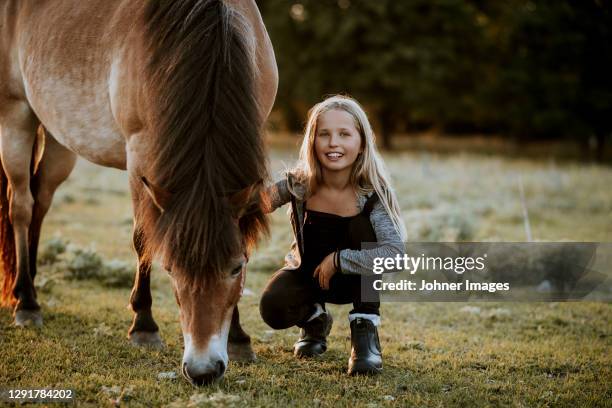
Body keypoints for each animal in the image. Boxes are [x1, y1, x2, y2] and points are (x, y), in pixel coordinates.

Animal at [0, 0, 278, 386]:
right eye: (171, 269)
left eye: (237, 268)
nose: (203, 370)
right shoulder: (139, 156)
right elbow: (142, 239)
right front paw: (144, 326)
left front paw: (239, 338)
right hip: (15, 116)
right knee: (21, 207)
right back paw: (26, 301)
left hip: (58, 138)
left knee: (40, 199)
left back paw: (27, 287)